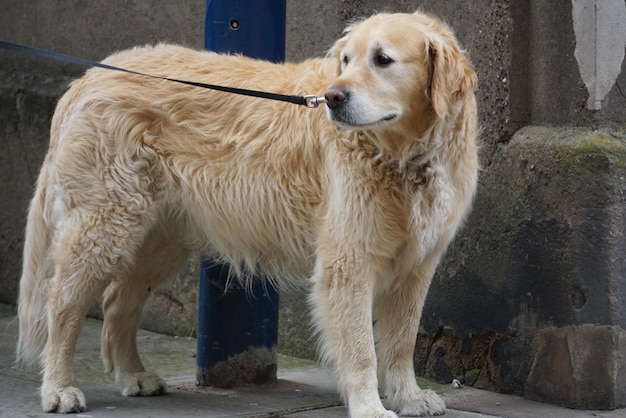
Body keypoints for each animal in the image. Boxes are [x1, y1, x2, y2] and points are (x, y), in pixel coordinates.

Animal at [14, 9, 476, 418]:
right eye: (346, 60)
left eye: (383, 59)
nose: (332, 97)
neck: (403, 154)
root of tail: (86, 78)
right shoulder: (349, 262)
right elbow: (362, 349)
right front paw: (370, 408)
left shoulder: (417, 265)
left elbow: (401, 343)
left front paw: (409, 398)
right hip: (104, 228)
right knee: (62, 304)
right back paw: (58, 388)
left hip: (157, 238)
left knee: (117, 303)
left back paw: (133, 375)